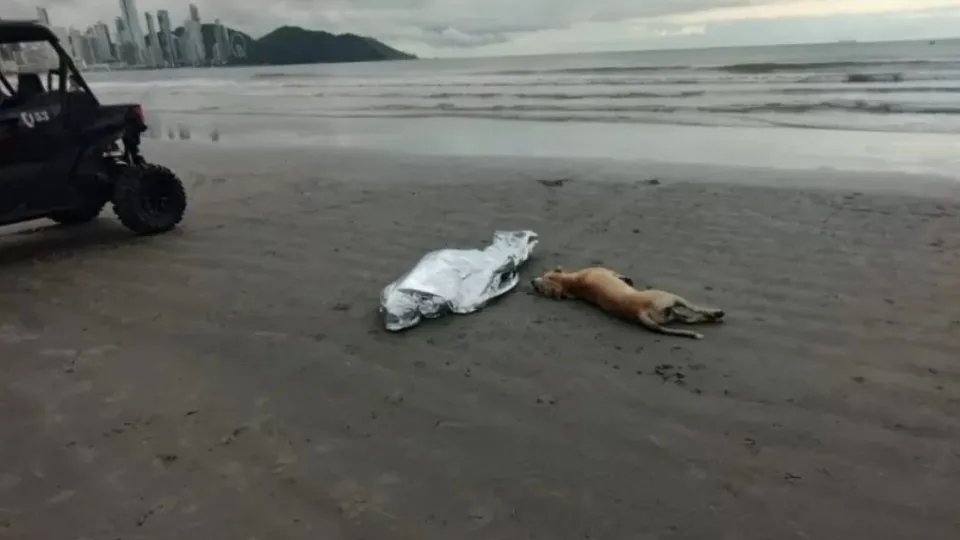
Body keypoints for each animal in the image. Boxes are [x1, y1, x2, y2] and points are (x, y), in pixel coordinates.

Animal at [528, 266, 724, 338]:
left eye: (542, 286)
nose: (531, 281)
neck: (571, 282)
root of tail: (639, 310)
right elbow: (621, 275)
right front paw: (628, 279)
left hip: (667, 314)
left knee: (687, 318)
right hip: (671, 297)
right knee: (695, 310)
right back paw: (715, 313)